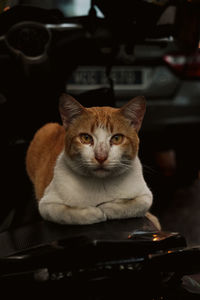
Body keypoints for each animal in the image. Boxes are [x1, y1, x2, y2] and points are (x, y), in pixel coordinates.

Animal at [26, 94, 161, 230]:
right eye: (86, 138)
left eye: (117, 138)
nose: (101, 157)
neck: (100, 184)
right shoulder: (46, 205)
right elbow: (67, 214)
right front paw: (94, 212)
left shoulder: (146, 195)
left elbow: (134, 205)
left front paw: (106, 207)